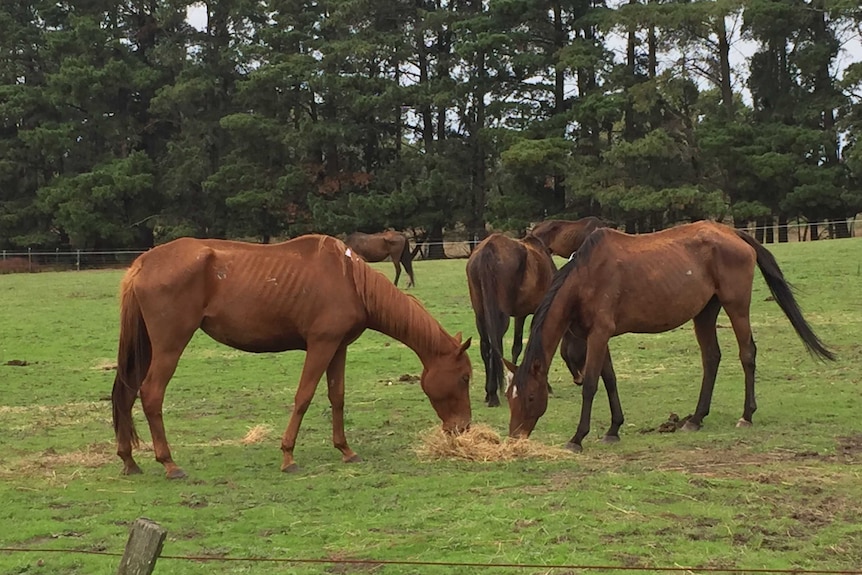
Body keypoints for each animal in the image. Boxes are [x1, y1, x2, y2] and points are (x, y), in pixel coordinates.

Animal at [109, 233, 472, 476]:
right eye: (465, 377)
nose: (463, 428)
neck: (349, 280)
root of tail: (142, 263)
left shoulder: (338, 347)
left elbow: (337, 397)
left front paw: (345, 449)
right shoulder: (321, 345)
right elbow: (304, 397)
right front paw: (288, 456)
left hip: (145, 348)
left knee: (125, 394)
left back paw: (129, 460)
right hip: (169, 346)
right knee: (151, 394)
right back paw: (169, 462)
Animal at [466, 232, 560, 408]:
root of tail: (489, 248)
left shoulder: (519, 315)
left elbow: (516, 346)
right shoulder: (536, 313)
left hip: (480, 314)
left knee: (486, 346)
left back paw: (490, 393)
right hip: (500, 315)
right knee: (495, 345)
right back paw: (493, 395)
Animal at [510, 220, 832, 450]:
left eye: (530, 397)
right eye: (510, 397)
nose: (515, 436)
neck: (585, 277)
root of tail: (733, 233)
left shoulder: (599, 334)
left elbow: (591, 385)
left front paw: (578, 438)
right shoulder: (598, 336)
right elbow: (610, 380)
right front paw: (614, 429)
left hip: (736, 306)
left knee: (747, 354)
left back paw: (746, 415)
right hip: (705, 312)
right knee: (711, 358)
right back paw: (696, 418)